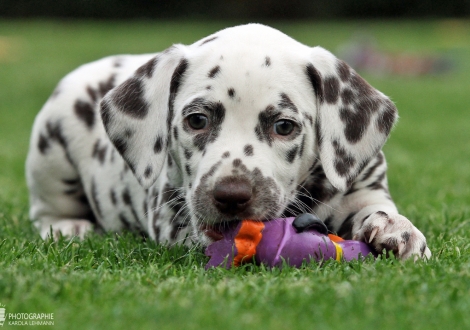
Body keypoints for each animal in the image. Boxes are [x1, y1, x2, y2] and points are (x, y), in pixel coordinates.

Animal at [24, 23, 430, 260]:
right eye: (197, 120)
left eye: (284, 126)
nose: (232, 195)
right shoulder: (171, 212)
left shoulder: (364, 188)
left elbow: (377, 209)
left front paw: (399, 231)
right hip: (50, 148)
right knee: (45, 210)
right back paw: (68, 227)